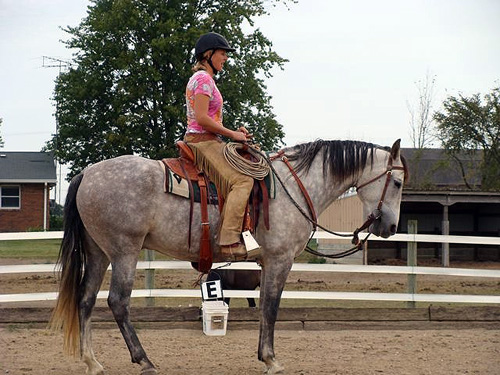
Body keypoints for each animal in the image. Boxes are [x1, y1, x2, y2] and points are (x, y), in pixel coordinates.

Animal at [49, 140, 406, 374]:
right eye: (398, 181)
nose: (390, 226)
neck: (294, 186)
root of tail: (87, 174)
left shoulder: (265, 264)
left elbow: (263, 308)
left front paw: (264, 356)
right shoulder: (279, 260)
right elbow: (271, 308)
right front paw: (271, 360)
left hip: (98, 253)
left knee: (85, 300)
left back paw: (92, 362)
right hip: (124, 250)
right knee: (118, 302)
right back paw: (144, 361)